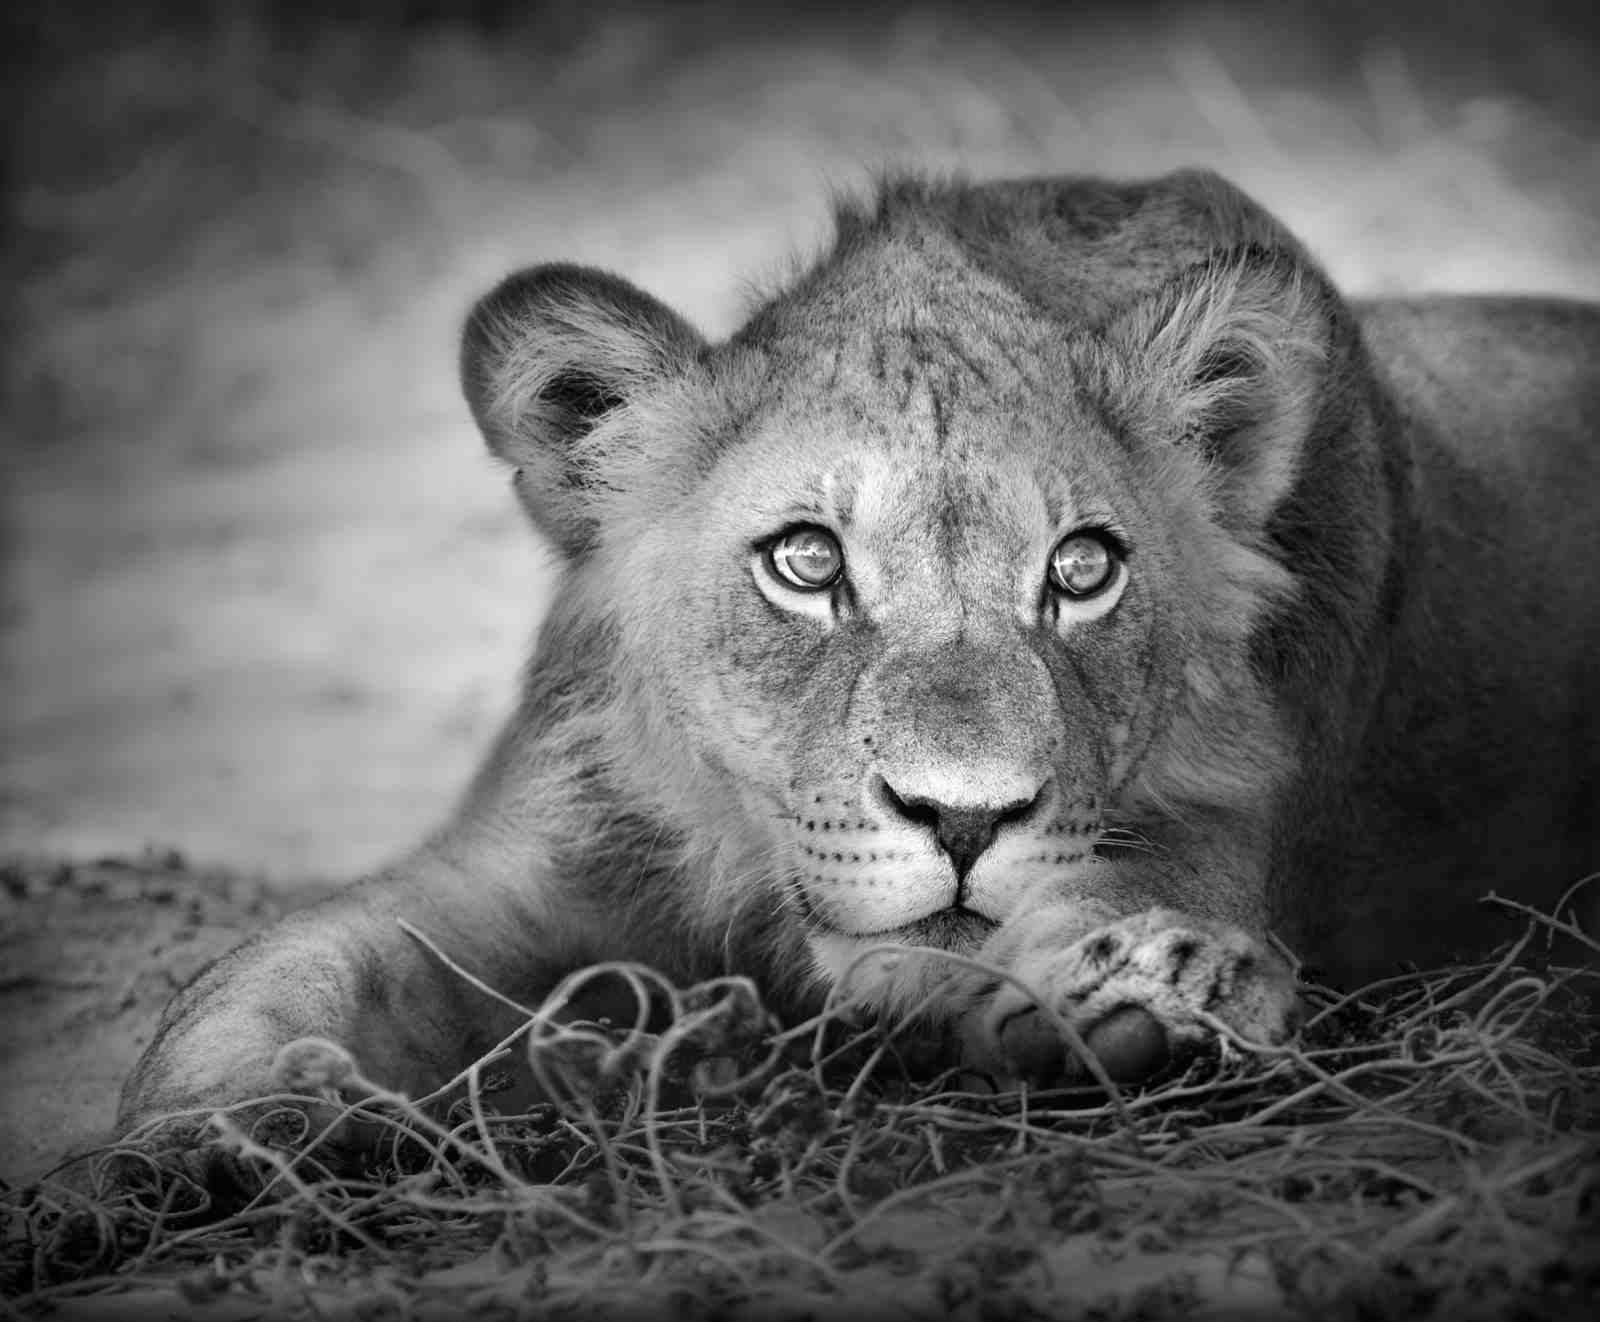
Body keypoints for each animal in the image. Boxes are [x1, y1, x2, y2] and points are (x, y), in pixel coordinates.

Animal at [118, 169, 1600, 1165]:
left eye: (1081, 570)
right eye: (804, 561)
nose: (964, 817)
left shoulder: (1214, 835)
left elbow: (1093, 918)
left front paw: (1157, 994)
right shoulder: (521, 863)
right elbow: (277, 969)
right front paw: (223, 1127)